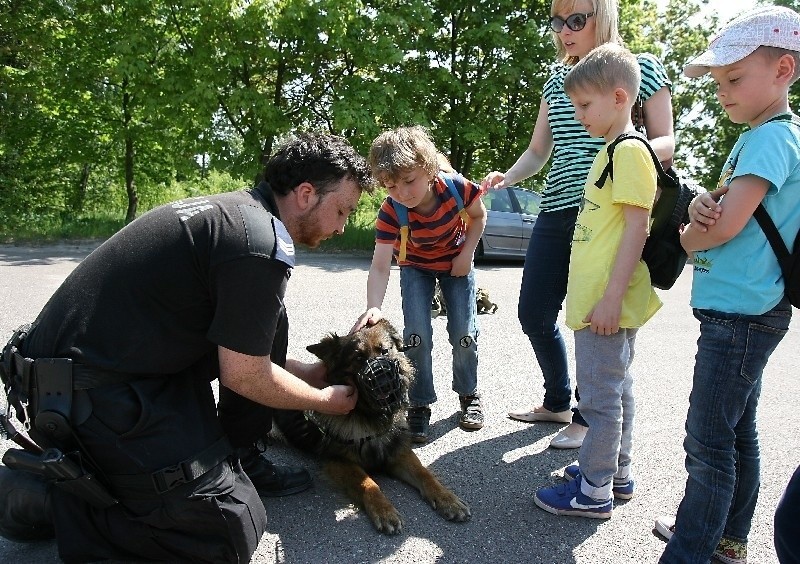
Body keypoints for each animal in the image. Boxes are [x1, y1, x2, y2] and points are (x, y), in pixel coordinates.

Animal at [274, 320, 468, 536]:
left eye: (384, 351)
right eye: (358, 357)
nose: (383, 380)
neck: (369, 415)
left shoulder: (399, 453)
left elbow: (425, 474)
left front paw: (447, 499)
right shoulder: (338, 461)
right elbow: (368, 483)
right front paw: (384, 511)